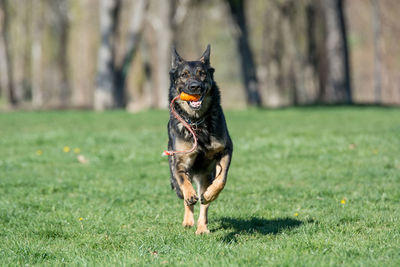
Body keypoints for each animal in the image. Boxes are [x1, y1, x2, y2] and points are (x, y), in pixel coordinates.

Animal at [167, 45, 233, 236]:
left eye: (202, 73)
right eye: (184, 75)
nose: (195, 86)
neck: (197, 122)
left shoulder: (226, 150)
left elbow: (222, 180)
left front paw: (212, 194)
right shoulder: (180, 162)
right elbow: (184, 183)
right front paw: (190, 195)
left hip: (204, 177)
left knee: (204, 205)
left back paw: (202, 227)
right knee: (184, 194)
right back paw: (188, 220)